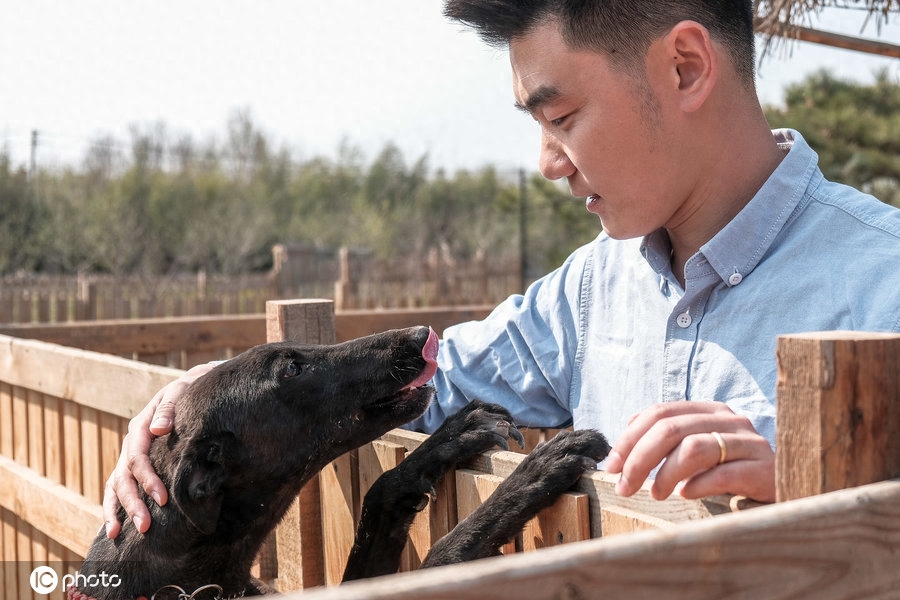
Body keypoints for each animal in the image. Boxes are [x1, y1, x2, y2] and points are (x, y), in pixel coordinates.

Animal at [79, 328, 612, 600]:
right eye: (292, 368)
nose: (421, 333)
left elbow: (381, 492)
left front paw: (454, 436)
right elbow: (444, 552)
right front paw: (534, 473)